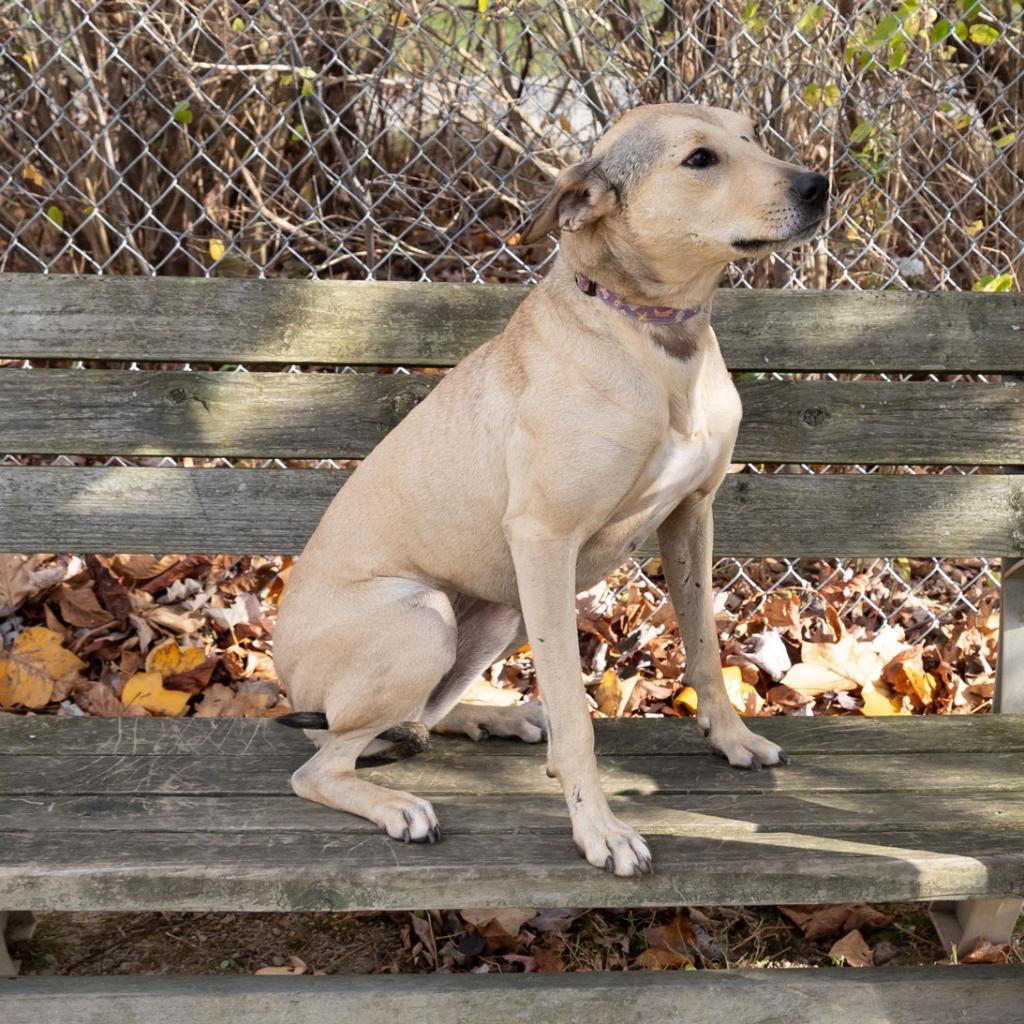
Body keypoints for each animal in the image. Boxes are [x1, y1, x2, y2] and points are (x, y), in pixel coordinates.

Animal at [274, 103, 831, 876]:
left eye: (749, 135)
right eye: (699, 159)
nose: (818, 185)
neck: (652, 336)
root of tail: (289, 680)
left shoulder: (692, 517)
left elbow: (705, 649)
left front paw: (731, 738)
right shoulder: (545, 542)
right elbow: (575, 714)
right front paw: (600, 830)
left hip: (497, 613)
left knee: (412, 721)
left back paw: (491, 717)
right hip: (424, 619)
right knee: (322, 764)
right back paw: (399, 805)